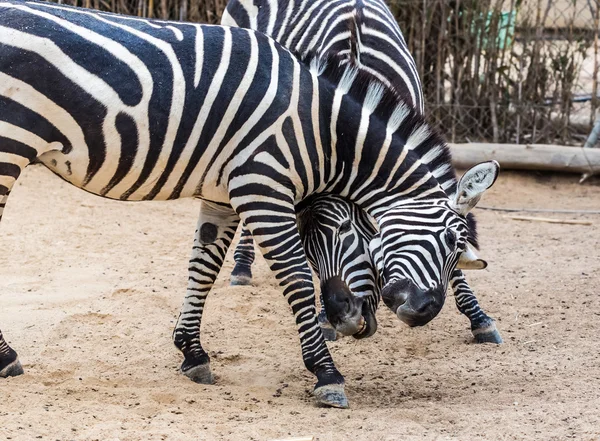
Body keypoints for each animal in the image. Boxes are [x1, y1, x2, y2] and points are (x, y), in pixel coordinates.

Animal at [220, 0, 502, 344]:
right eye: (311, 243)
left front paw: (479, 317)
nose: (422, 311)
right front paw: (325, 318)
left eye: (454, 242)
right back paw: (241, 267)